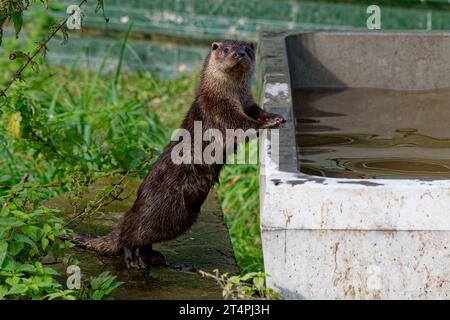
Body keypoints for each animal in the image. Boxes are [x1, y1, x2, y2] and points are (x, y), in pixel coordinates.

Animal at [81, 40, 284, 270]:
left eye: (248, 49)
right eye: (226, 50)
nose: (239, 54)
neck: (230, 96)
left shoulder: (248, 103)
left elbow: (258, 111)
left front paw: (275, 116)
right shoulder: (219, 109)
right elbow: (243, 125)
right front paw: (266, 124)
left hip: (181, 217)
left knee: (143, 238)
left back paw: (153, 257)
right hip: (161, 212)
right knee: (130, 233)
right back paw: (133, 260)